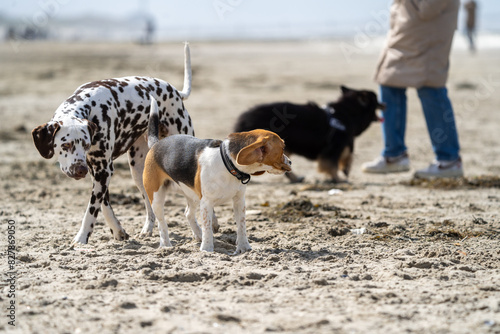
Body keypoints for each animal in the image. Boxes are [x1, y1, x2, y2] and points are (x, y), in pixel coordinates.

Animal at [32, 43, 194, 244]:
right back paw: (148, 228)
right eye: (66, 145)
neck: (91, 107)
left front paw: (82, 237)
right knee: (150, 205)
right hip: (139, 170)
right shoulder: (98, 171)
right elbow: (103, 204)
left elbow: (91, 209)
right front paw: (117, 231)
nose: (80, 170)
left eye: (85, 144)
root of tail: (175, 92)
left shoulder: (103, 170)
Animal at [232, 85, 384, 181]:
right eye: (376, 100)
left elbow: (348, 156)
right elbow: (333, 166)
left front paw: (344, 171)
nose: (385, 104)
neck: (345, 114)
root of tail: (244, 117)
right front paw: (338, 179)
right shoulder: (334, 148)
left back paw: (295, 178)